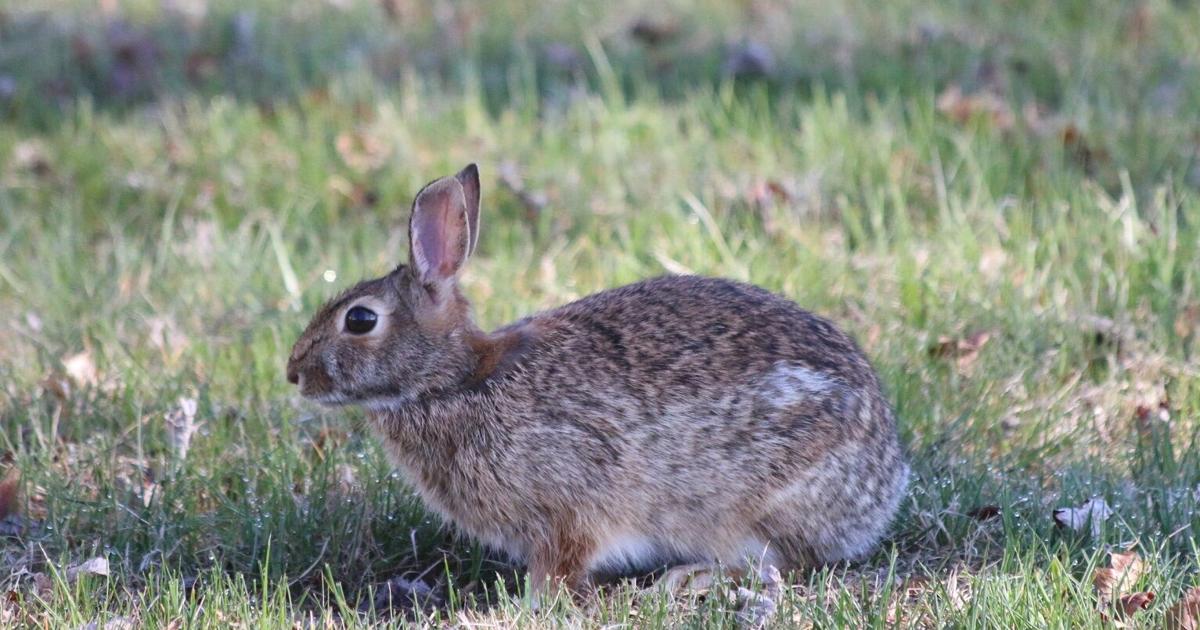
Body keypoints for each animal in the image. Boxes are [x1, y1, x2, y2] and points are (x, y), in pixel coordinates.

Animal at [286, 164, 909, 595]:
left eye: (359, 320)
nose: (293, 374)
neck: (455, 380)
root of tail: (885, 484)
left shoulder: (566, 506)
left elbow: (562, 564)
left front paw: (533, 603)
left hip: (759, 499)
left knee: (786, 562)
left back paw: (690, 577)